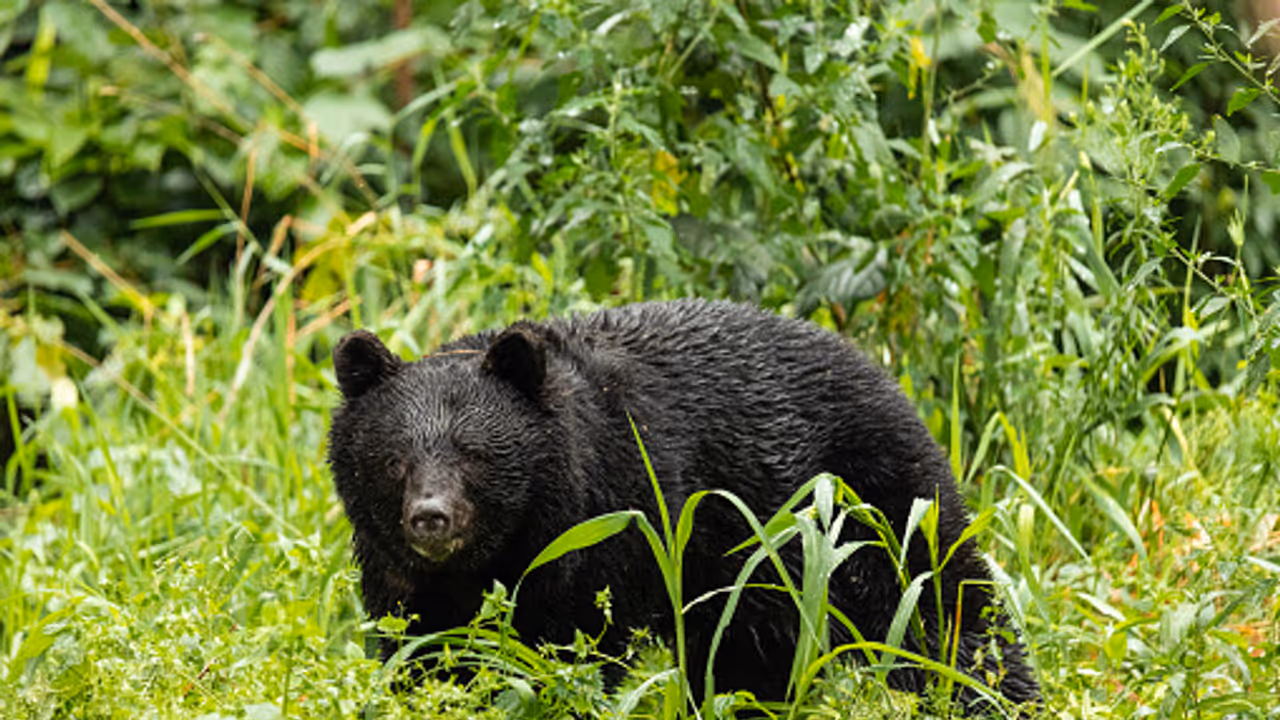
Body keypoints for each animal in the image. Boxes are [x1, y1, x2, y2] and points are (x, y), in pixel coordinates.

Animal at [327, 298, 1039, 709]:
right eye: (394, 460)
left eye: (474, 454)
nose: (431, 518)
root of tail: (886, 375)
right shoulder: (407, 577)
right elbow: (424, 649)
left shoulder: (610, 528)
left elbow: (574, 647)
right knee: (749, 663)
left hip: (872, 503)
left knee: (947, 610)